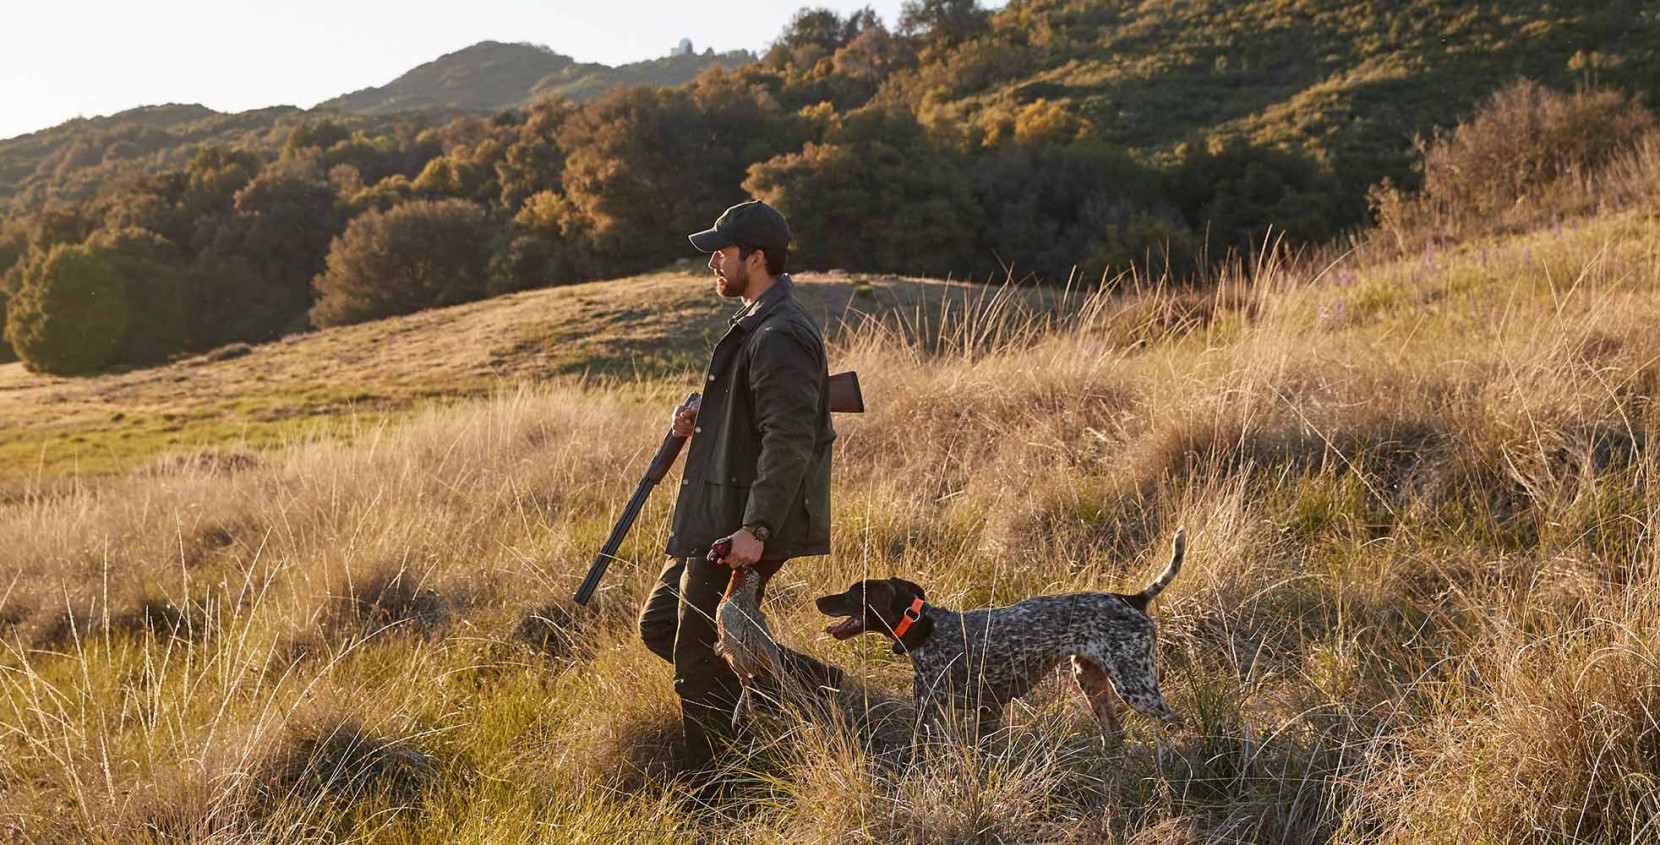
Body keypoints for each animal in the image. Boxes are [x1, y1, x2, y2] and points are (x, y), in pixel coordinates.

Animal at [813, 534, 1181, 737]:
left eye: (851, 593)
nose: (818, 600)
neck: (925, 629)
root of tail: (1131, 598)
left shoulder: (929, 712)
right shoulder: (988, 711)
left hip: (1135, 687)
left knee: (1175, 722)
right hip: (1090, 678)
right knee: (1114, 735)